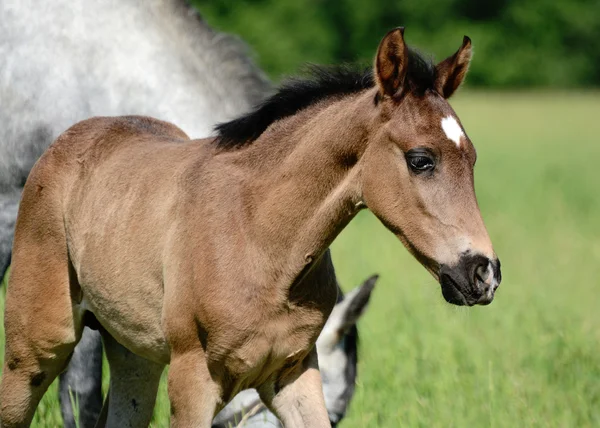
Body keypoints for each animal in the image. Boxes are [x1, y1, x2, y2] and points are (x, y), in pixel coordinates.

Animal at [1, 28, 502, 426]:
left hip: (134, 357)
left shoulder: (293, 373)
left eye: (474, 159)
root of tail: (65, 141)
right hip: (36, 348)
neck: (260, 237)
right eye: (421, 160)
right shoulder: (193, 378)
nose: (484, 274)